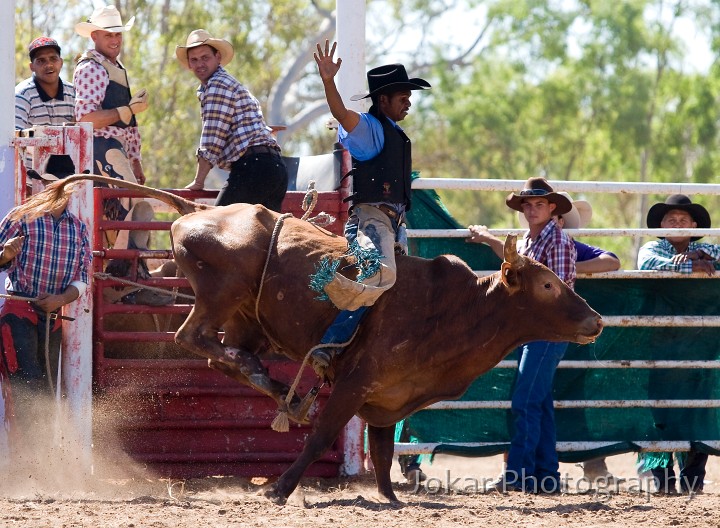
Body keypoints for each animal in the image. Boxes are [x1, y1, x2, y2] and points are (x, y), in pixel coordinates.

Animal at [54, 176, 600, 504]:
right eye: (547, 285)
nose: (595, 320)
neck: (452, 310)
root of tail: (197, 211)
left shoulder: (386, 401)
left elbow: (382, 453)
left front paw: (392, 499)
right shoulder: (355, 384)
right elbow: (322, 435)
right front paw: (279, 488)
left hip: (247, 318)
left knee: (226, 355)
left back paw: (277, 389)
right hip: (218, 295)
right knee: (195, 338)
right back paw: (280, 393)